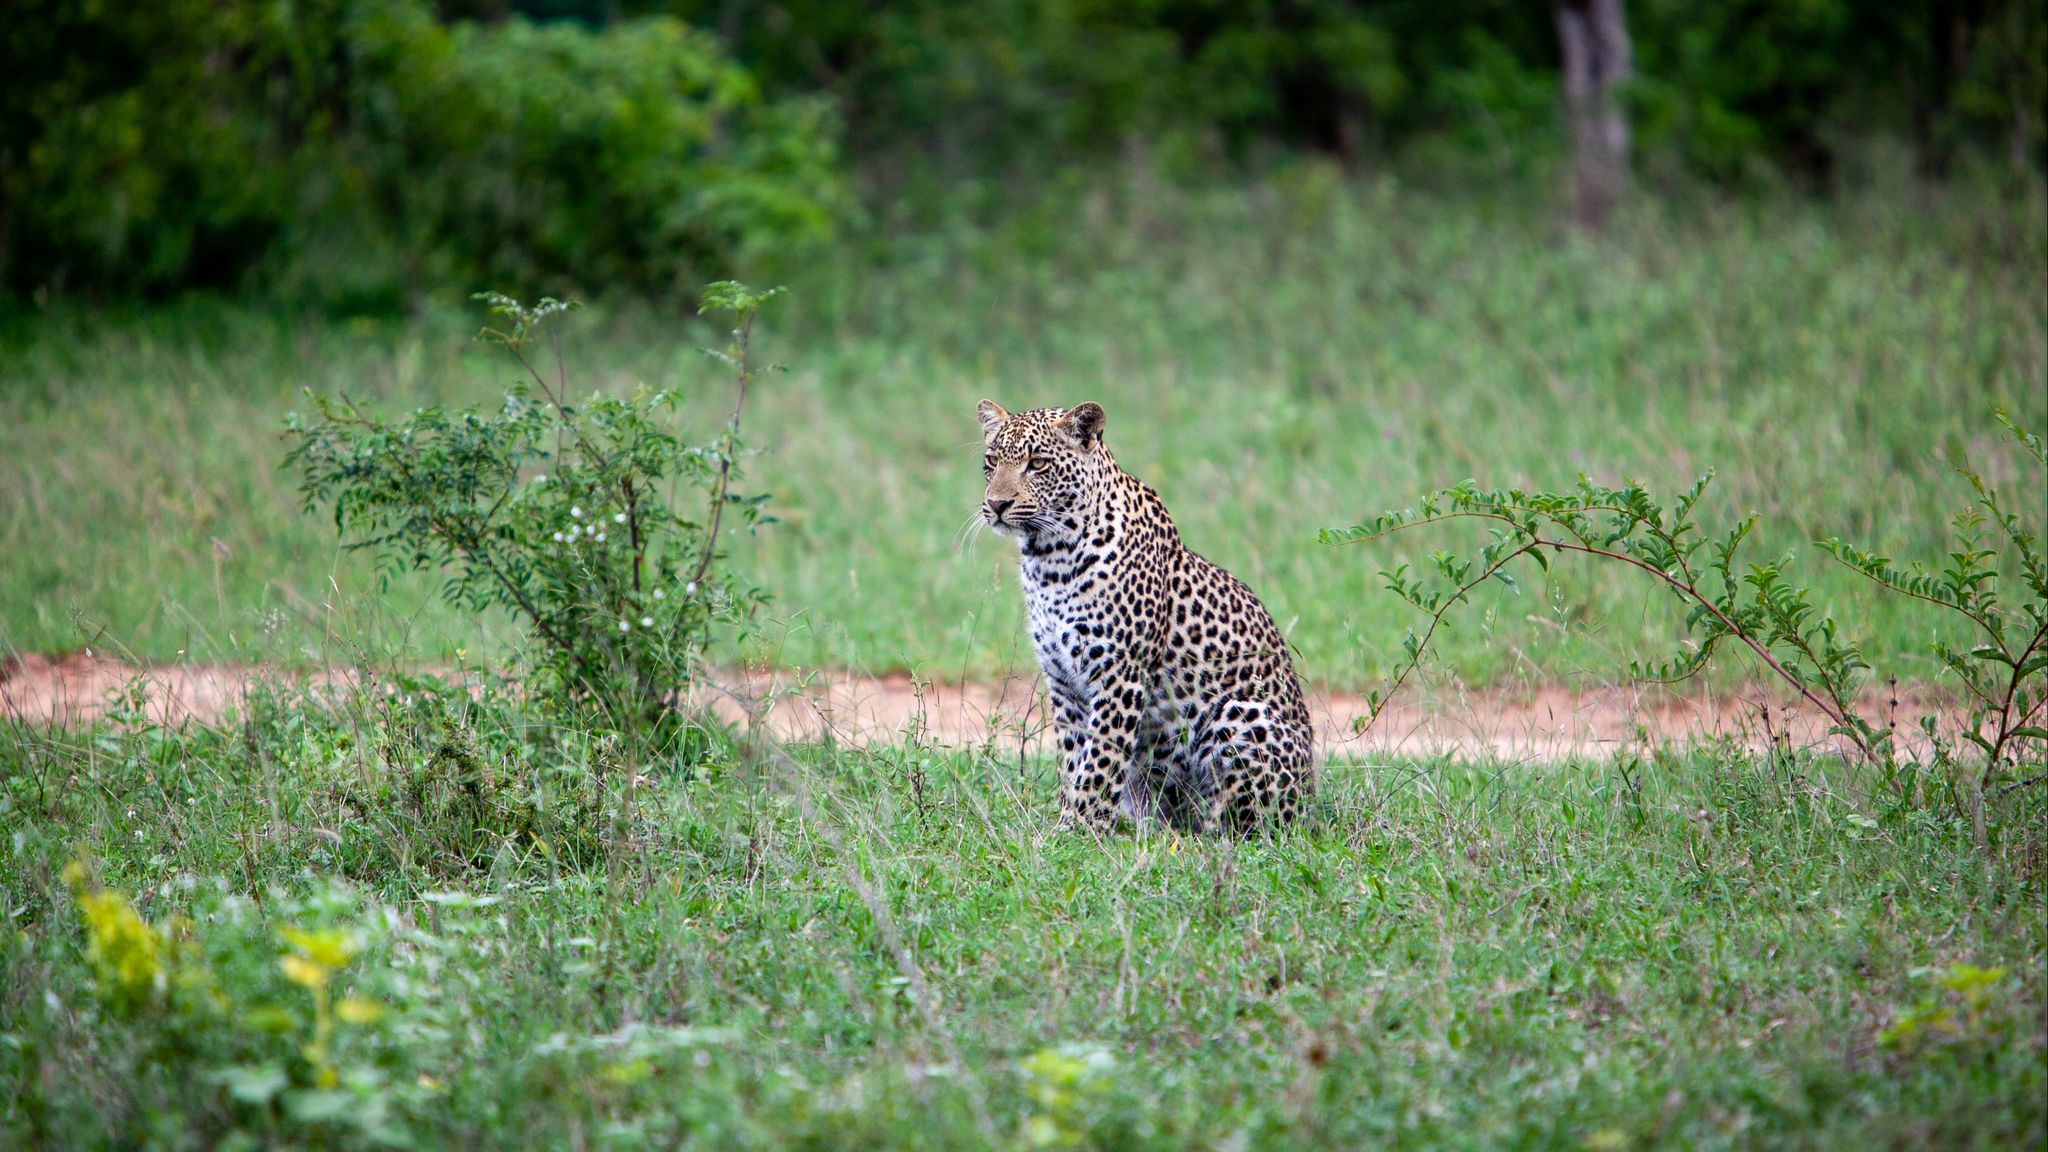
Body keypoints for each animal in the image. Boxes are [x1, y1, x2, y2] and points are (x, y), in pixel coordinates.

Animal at [970, 399, 1310, 828]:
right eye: (991, 462)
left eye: (1038, 463)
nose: (997, 504)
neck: (1049, 559)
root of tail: (1312, 799)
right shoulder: (1063, 681)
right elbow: (1073, 758)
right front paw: (1069, 822)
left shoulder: (1119, 674)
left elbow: (1100, 760)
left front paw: (1083, 827)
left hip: (1240, 714)